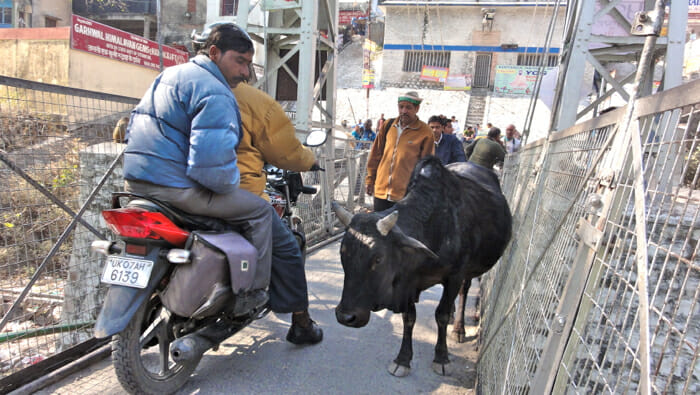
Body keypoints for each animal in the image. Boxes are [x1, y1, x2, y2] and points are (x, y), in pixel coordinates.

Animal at [330, 157, 512, 378]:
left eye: (378, 259)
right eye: (343, 252)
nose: (345, 316)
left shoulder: (454, 275)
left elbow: (441, 314)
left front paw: (441, 358)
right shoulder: (408, 281)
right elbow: (409, 318)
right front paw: (402, 359)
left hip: (469, 271)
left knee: (464, 291)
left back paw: (458, 328)